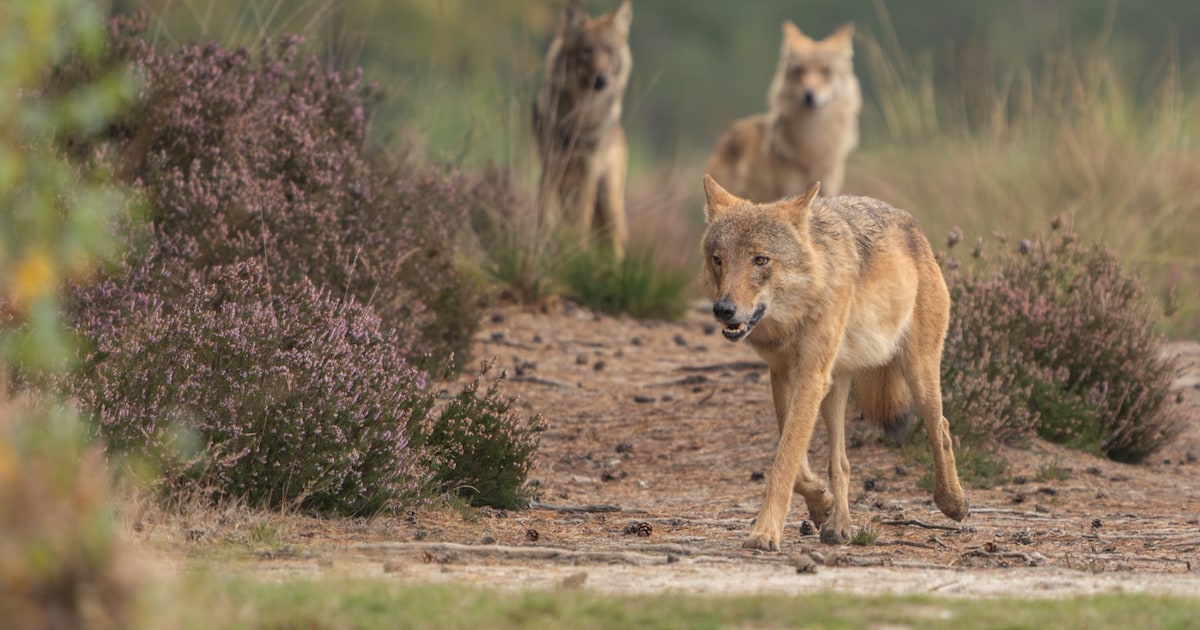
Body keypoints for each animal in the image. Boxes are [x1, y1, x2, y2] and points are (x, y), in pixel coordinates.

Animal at [533, 0, 632, 259]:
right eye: (587, 50)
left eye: (609, 51)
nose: (602, 79)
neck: (581, 118)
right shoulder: (550, 167)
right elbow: (544, 216)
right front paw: (541, 249)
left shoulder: (588, 173)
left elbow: (580, 223)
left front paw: (577, 256)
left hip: (607, 196)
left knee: (615, 240)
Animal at [699, 174, 968, 550]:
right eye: (718, 260)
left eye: (760, 260)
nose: (723, 310)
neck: (795, 315)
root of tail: (912, 225)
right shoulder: (782, 374)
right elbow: (795, 460)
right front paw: (819, 504)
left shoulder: (811, 377)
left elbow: (784, 462)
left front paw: (764, 533)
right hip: (836, 388)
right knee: (841, 462)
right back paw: (839, 526)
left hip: (917, 371)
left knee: (941, 427)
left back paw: (953, 503)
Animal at [706, 22, 861, 202]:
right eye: (799, 70)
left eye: (825, 71)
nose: (809, 94)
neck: (813, 144)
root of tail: (729, 132)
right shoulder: (789, 191)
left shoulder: (827, 189)